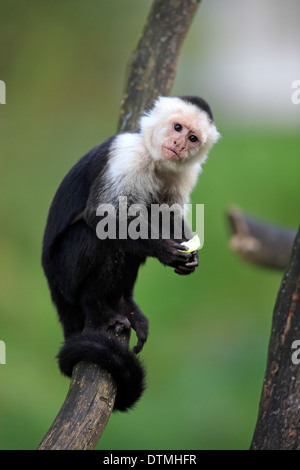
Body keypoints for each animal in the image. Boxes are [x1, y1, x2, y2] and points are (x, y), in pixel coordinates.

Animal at [41, 96, 220, 412]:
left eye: (193, 138)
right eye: (177, 127)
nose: (179, 143)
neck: (155, 159)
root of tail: (52, 283)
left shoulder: (184, 172)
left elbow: (169, 215)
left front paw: (191, 255)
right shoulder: (127, 155)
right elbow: (102, 217)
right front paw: (164, 250)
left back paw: (126, 304)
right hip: (63, 275)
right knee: (99, 237)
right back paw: (96, 307)